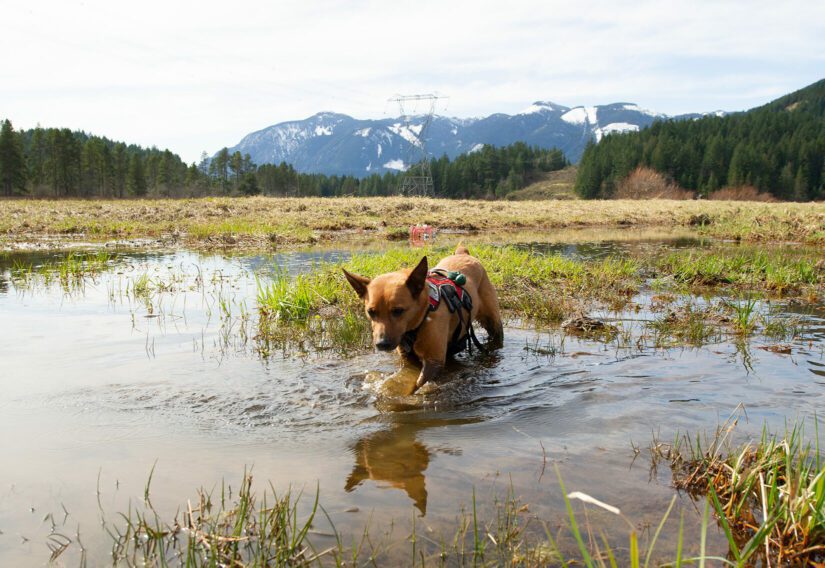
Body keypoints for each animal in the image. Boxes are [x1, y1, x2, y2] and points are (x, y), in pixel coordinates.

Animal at [342, 244, 502, 390]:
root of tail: (463, 254)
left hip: (493, 321)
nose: (382, 344)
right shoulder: (408, 359)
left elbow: (419, 383)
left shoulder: (433, 361)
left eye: (398, 310)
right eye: (371, 312)